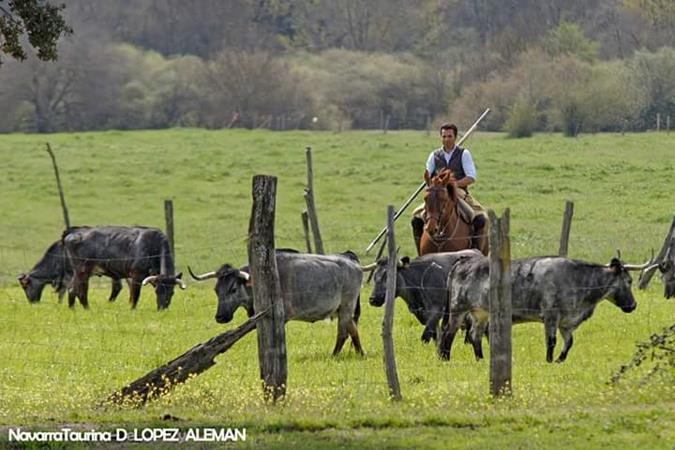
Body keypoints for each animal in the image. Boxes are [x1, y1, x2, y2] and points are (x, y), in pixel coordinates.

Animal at [187, 251, 368, 356]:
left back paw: (334, 355)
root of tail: (352, 262)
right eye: (216, 290)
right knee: (353, 329)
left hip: (346, 307)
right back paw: (360, 353)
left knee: (343, 333)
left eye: (233, 289)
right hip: (343, 310)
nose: (220, 317)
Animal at [440, 255, 648, 364]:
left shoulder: (566, 323)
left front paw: (559, 360)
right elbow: (551, 341)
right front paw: (549, 360)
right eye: (629, 281)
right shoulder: (550, 316)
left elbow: (569, 343)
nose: (634, 305)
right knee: (448, 333)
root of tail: (464, 260)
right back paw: (445, 358)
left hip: (480, 314)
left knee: (474, 336)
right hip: (458, 310)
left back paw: (481, 359)